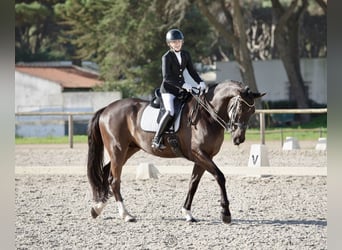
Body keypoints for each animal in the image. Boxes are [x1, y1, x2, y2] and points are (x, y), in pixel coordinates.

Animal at [87, 79, 266, 223]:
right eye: (240, 107)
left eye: (252, 111)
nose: (239, 138)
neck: (207, 116)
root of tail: (107, 109)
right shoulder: (199, 154)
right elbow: (220, 177)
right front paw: (225, 214)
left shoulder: (204, 157)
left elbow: (193, 183)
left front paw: (187, 213)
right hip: (118, 150)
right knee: (115, 180)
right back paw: (126, 215)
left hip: (128, 149)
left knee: (107, 174)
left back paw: (97, 208)